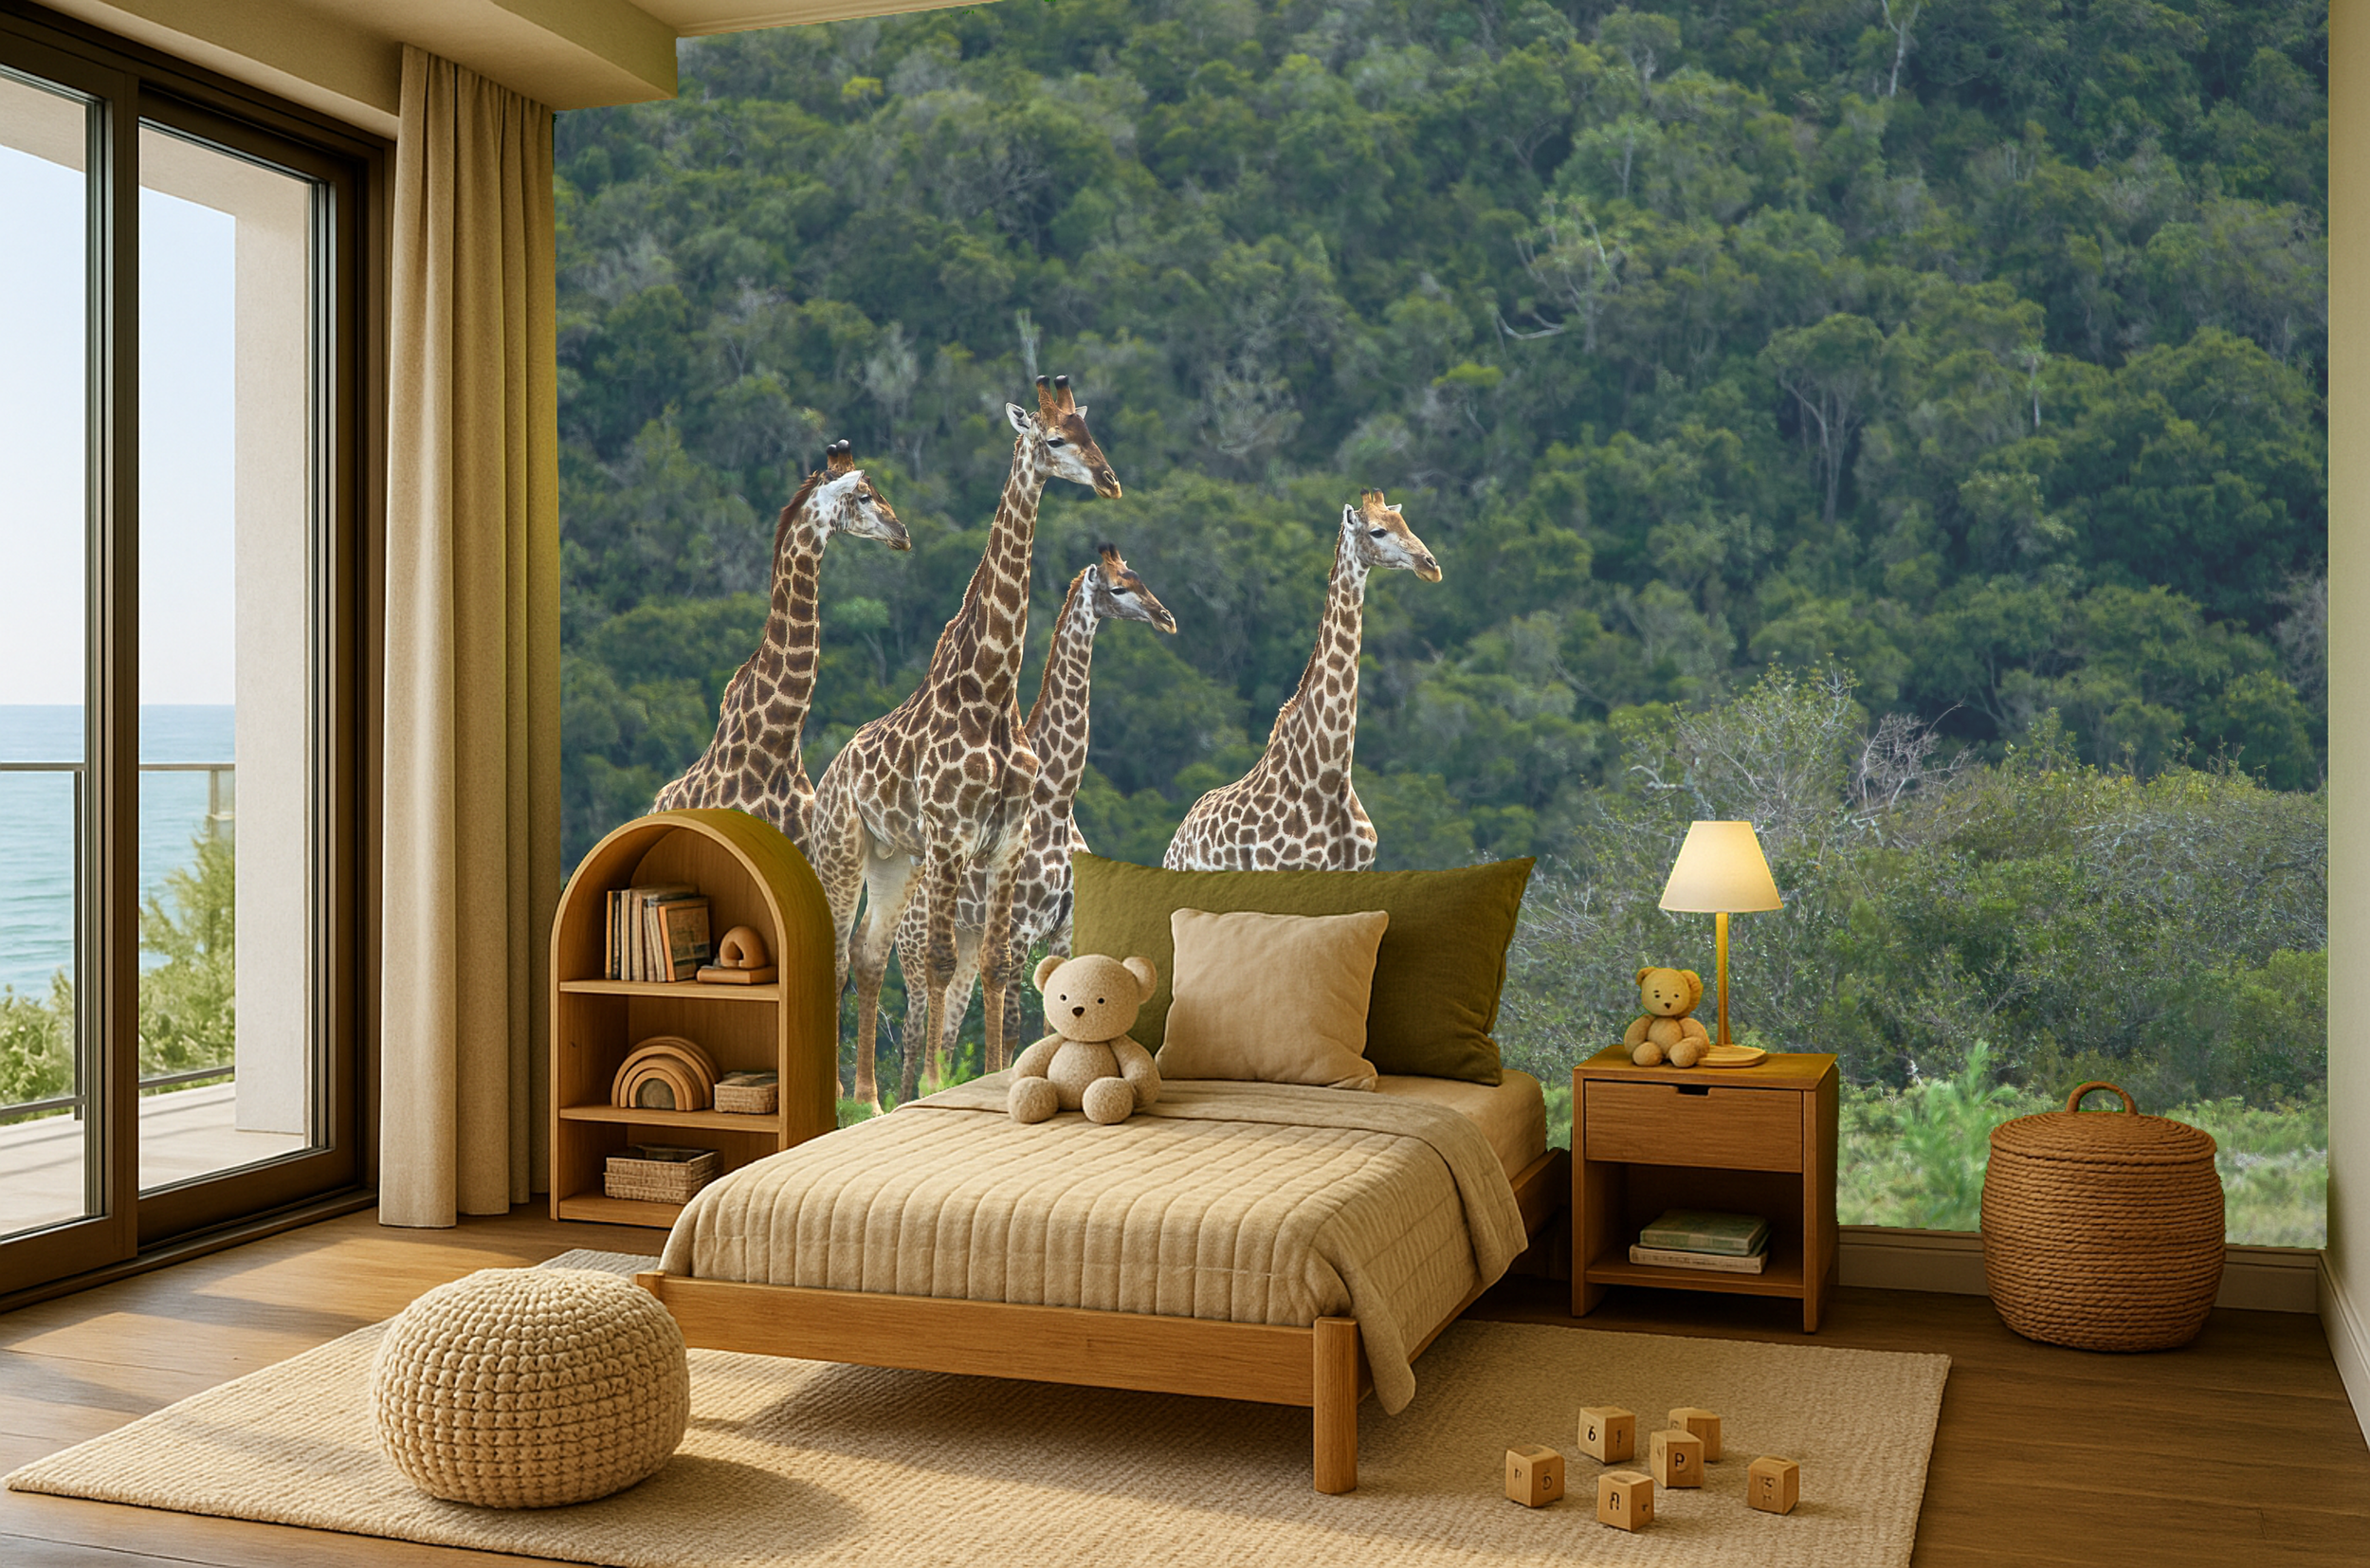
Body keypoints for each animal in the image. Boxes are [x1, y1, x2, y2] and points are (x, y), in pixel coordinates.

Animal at [809, 375, 1122, 1109]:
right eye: (1055, 440)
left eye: (1092, 433)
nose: (1110, 480)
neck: (989, 691)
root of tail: (830, 773)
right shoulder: (952, 833)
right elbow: (943, 961)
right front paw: (931, 1084)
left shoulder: (1005, 839)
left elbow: (1001, 971)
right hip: (845, 850)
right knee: (842, 958)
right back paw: (846, 1097)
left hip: (894, 858)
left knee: (866, 956)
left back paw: (867, 1098)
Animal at [894, 544, 1176, 1102]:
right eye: (1119, 587)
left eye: (1140, 576)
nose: (1166, 618)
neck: (1058, 799)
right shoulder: (1023, 928)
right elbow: (1015, 1026)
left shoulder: (1065, 929)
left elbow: (1055, 1023)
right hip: (914, 952)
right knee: (912, 1039)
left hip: (965, 943)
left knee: (947, 1031)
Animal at [1163, 489, 1440, 872]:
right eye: (1378, 531)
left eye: (1406, 524)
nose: (1430, 565)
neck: (1327, 776)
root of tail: (1175, 843)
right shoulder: (1281, 869)